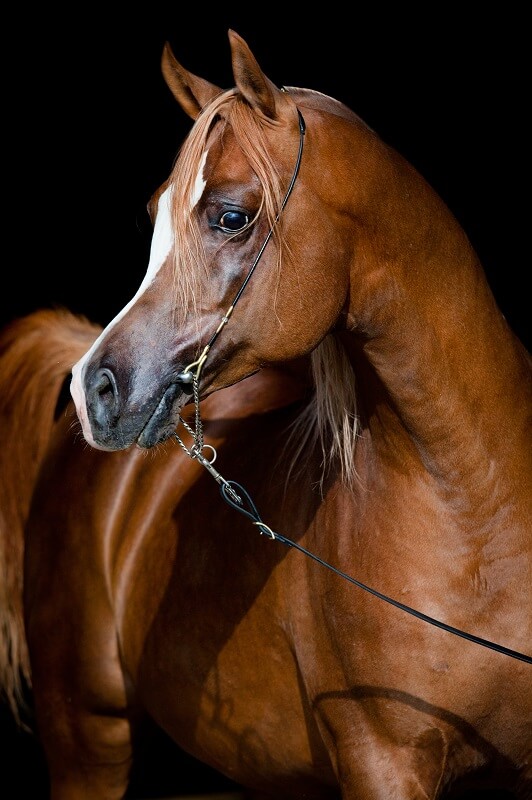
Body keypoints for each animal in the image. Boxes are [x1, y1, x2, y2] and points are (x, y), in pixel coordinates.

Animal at [1, 28, 532, 796]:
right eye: (156, 215)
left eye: (230, 215)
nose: (91, 389)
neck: (476, 519)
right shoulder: (382, 761)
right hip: (86, 746)